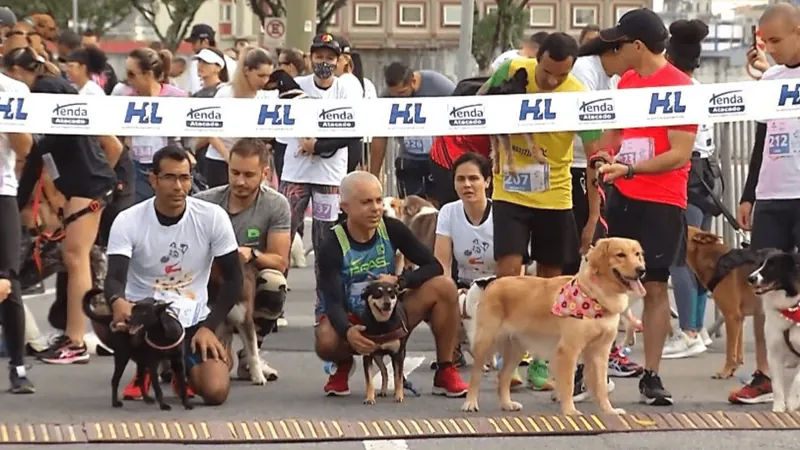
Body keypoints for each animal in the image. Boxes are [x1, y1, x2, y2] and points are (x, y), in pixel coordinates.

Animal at [460, 239, 648, 414]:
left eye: (637, 254)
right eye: (620, 255)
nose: (641, 270)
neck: (596, 296)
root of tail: (493, 283)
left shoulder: (601, 351)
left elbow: (601, 386)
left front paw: (609, 411)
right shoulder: (569, 349)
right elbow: (568, 384)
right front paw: (570, 411)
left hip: (516, 349)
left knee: (503, 376)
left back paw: (507, 404)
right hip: (485, 341)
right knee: (476, 375)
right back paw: (470, 403)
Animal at [752, 250, 800, 412]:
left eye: (772, 266)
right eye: (760, 265)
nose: (750, 278)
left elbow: (797, 380)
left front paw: (792, 403)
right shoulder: (773, 353)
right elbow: (777, 385)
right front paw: (778, 408)